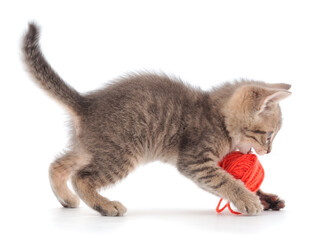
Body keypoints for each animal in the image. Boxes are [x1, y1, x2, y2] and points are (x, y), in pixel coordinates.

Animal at [22, 23, 288, 217]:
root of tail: (86, 103)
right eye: (269, 135)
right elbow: (226, 180)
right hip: (121, 154)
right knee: (81, 177)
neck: (217, 114)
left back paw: (66, 198)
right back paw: (105, 205)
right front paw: (247, 199)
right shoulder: (196, 161)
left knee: (57, 164)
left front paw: (266, 198)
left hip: (89, 148)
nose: (269, 151)